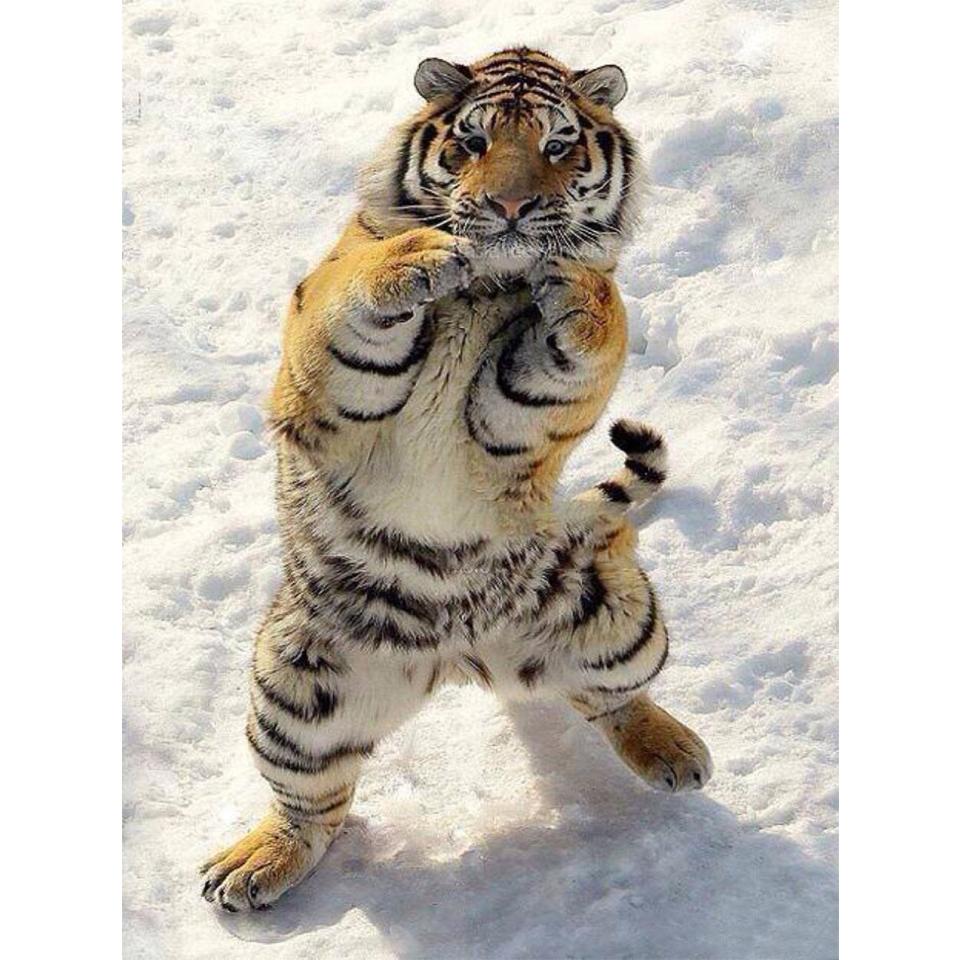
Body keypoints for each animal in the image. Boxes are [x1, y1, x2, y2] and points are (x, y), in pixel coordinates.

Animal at [201, 47, 712, 913]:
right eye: (473, 142)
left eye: (558, 146)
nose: (508, 206)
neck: (487, 288)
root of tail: (466, 658)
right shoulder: (324, 371)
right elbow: (350, 296)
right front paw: (416, 259)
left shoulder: (515, 420)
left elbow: (593, 327)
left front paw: (575, 284)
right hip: (292, 691)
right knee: (314, 807)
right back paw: (255, 864)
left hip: (619, 615)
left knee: (613, 696)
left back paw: (675, 752)